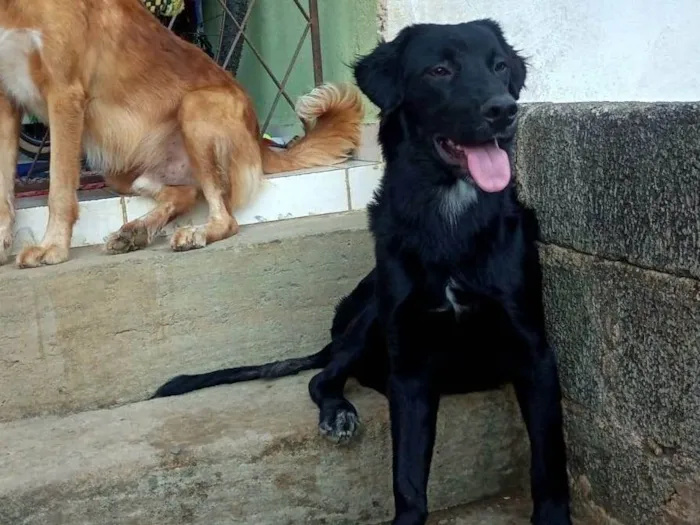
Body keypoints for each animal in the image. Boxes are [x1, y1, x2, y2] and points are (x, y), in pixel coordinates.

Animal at [0, 0, 360, 268]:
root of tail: (260, 142)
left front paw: (52, 248)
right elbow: (4, 187)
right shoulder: (5, 102)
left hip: (194, 107)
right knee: (184, 194)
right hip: (118, 169)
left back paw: (195, 233)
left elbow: (59, 190)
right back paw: (136, 231)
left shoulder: (64, 94)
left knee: (226, 216)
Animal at [152, 19, 568, 524]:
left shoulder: (534, 353)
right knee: (322, 376)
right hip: (370, 317)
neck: (449, 215)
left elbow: (549, 464)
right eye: (440, 70)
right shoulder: (409, 366)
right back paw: (338, 411)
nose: (504, 110)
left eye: (501, 66)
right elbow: (407, 477)